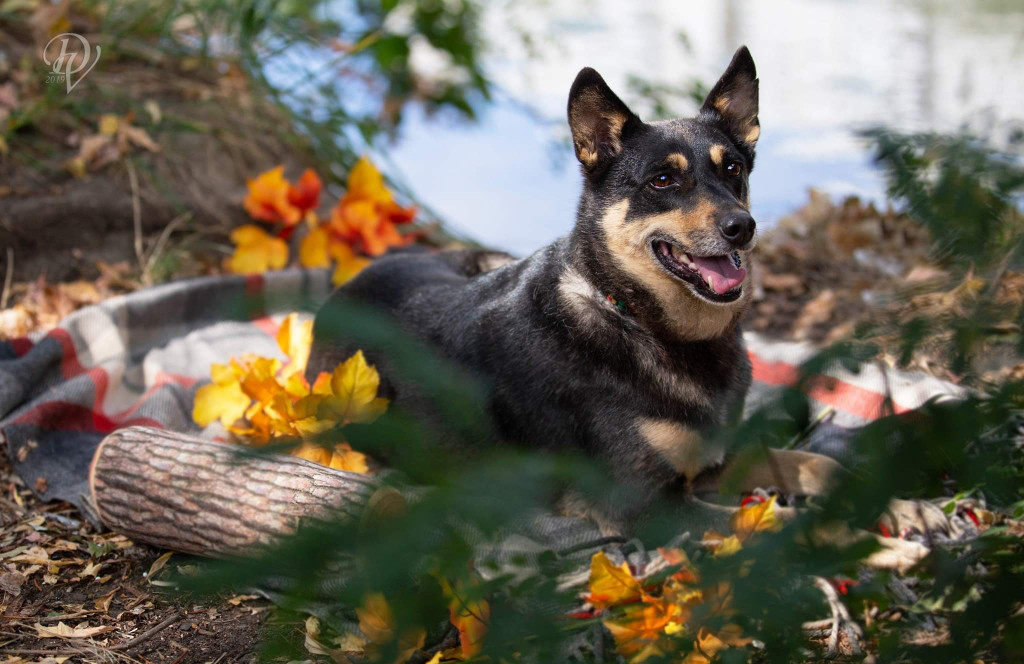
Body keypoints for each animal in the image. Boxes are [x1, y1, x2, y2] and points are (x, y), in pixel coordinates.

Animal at [307, 46, 946, 569]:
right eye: (663, 180)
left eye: (734, 169)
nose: (742, 228)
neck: (642, 322)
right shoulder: (648, 506)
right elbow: (781, 522)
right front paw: (875, 545)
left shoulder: (717, 460)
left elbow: (816, 464)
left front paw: (903, 507)